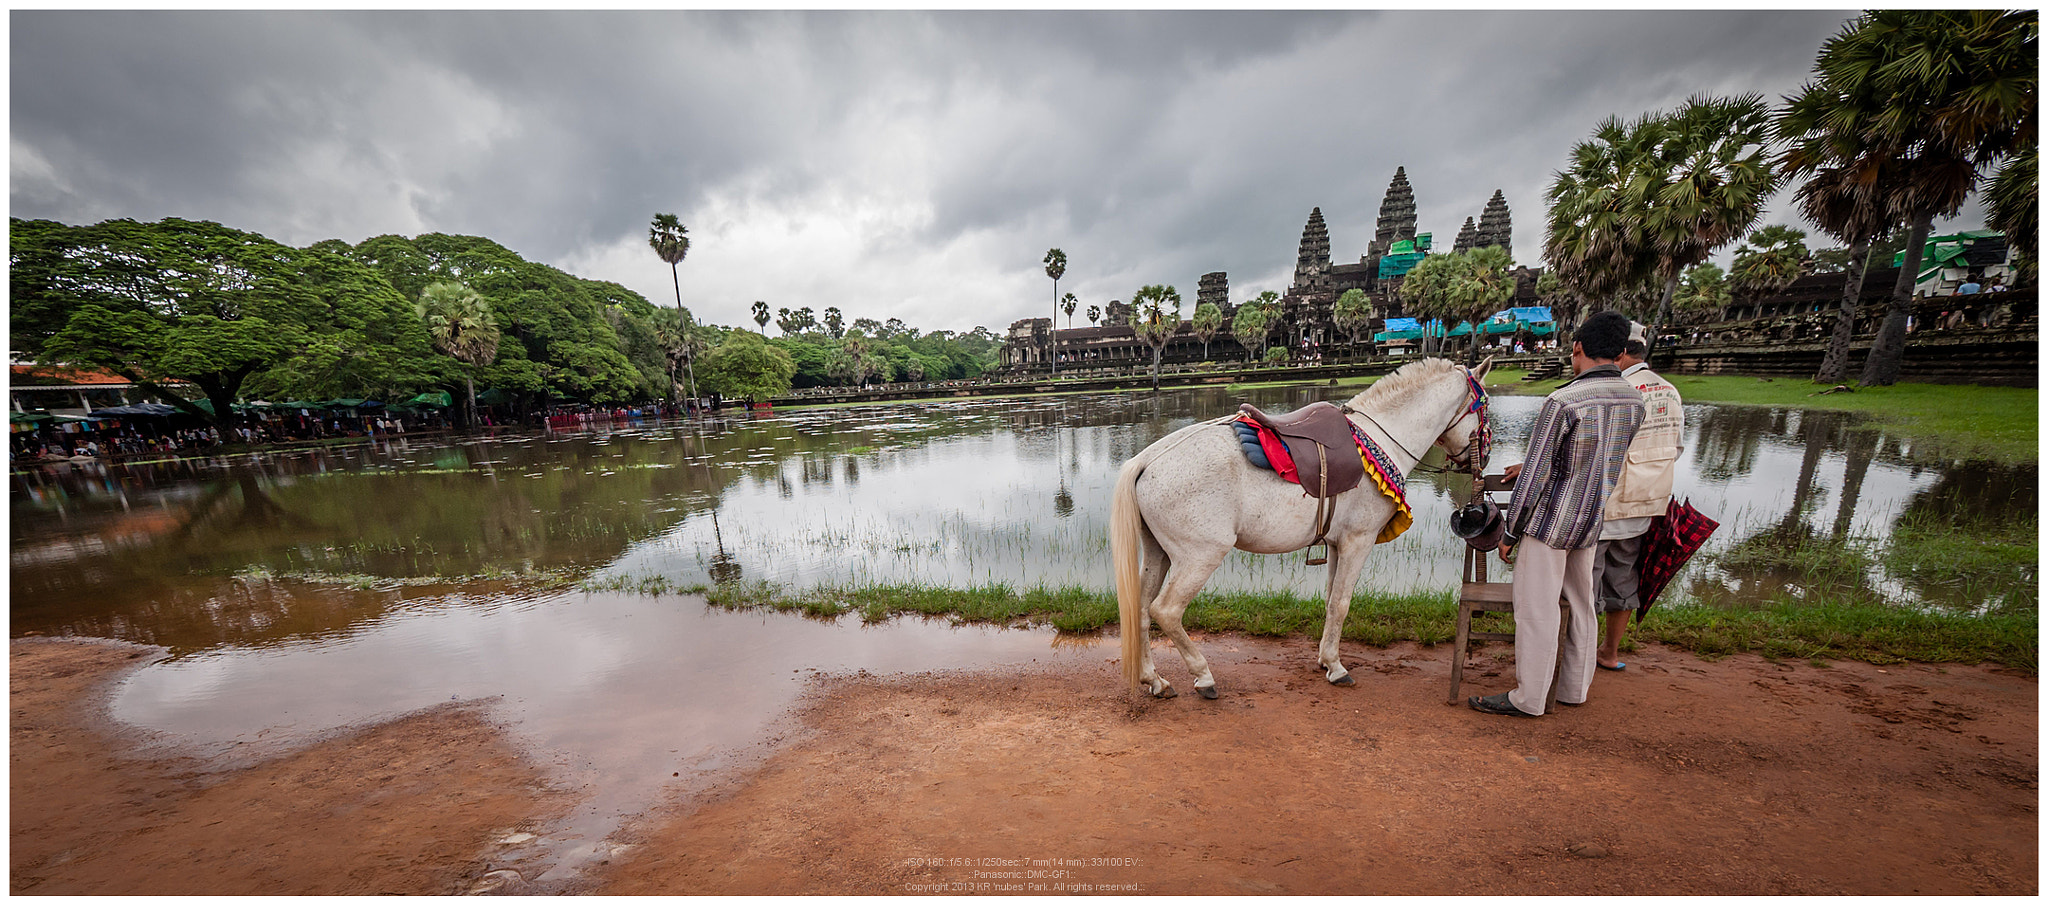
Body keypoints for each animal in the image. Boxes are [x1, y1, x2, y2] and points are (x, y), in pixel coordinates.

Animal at [1122, 356, 1490, 696]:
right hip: (1200, 557)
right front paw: (1337, 668)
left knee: (1140, 610)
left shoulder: (1336, 543)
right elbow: (1342, 603)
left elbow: (1330, 600)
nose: (1483, 458)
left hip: (1158, 553)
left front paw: (1326, 659)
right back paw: (1203, 676)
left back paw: (1154, 680)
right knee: (1166, 611)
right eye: (1484, 407)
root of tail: (1147, 459)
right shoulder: (1358, 540)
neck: (1379, 440)